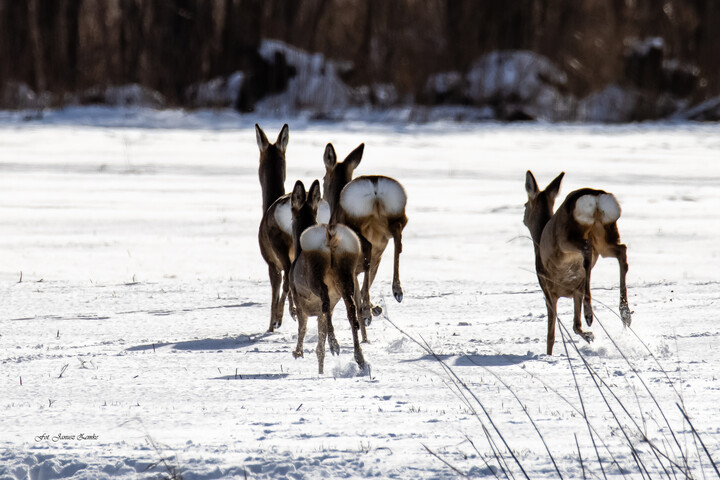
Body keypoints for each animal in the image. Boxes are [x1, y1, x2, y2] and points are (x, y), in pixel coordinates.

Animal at [255, 124, 330, 332]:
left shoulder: (270, 262)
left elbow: (276, 290)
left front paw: (273, 323)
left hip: (279, 245)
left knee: (288, 279)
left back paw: (286, 315)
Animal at [288, 180, 366, 376]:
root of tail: (331, 237)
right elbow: (319, 345)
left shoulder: (298, 299)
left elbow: (303, 326)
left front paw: (297, 352)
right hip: (347, 273)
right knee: (351, 311)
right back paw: (359, 358)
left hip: (314, 276)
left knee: (325, 299)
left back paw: (335, 345)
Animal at [324, 142, 408, 338]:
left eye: (324, 179)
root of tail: (374, 186)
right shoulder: (377, 258)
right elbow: (367, 282)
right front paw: (372, 309)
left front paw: (367, 314)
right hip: (396, 215)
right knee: (398, 240)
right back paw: (397, 290)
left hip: (353, 222)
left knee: (368, 246)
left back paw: (369, 310)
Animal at [524, 171, 632, 354]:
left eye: (525, 205)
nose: (524, 218)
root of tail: (596, 195)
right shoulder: (575, 292)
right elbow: (576, 326)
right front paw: (589, 336)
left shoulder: (547, 289)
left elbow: (551, 335)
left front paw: (549, 355)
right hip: (605, 233)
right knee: (621, 251)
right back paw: (625, 313)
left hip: (567, 237)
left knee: (587, 250)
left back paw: (590, 313)